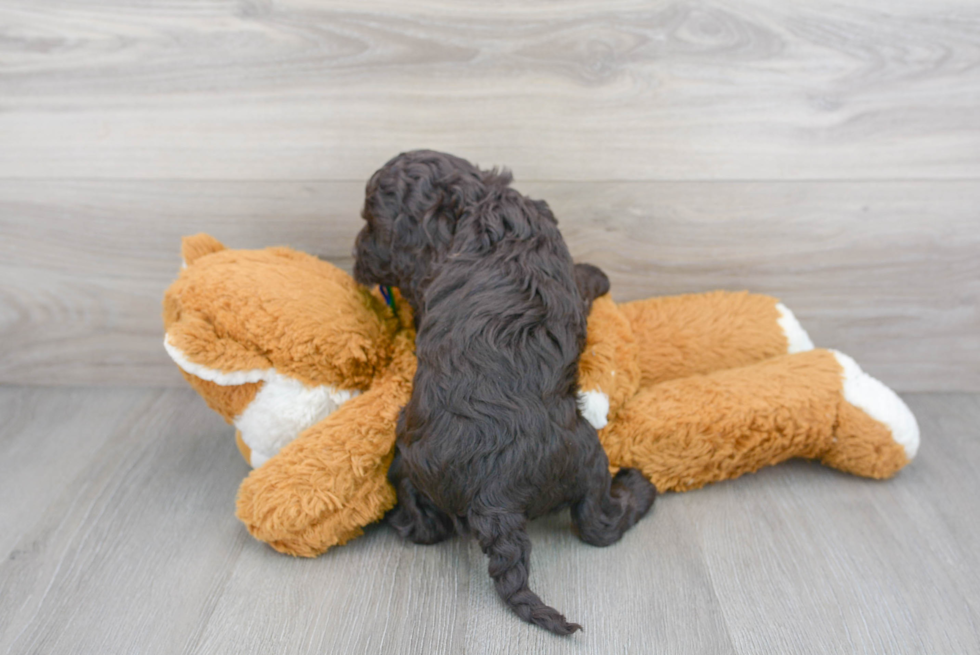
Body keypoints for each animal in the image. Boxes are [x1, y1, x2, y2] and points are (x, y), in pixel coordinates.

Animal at [352, 150, 660, 636]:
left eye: (372, 223)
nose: (355, 256)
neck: (477, 201)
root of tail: (492, 499)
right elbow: (582, 279)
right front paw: (599, 275)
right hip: (587, 456)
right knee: (597, 524)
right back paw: (638, 487)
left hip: (407, 454)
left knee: (424, 526)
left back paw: (402, 520)